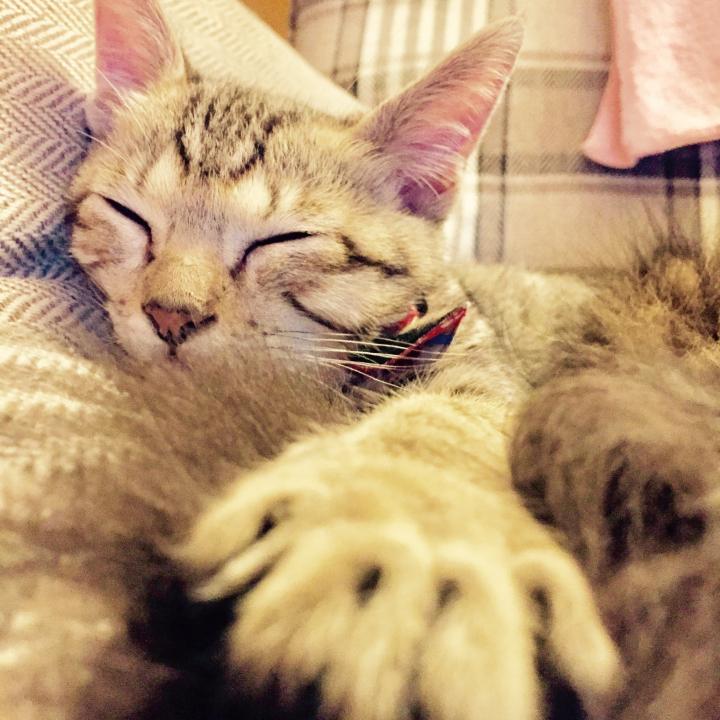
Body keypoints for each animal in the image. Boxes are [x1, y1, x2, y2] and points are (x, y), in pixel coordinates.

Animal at [47, 0, 719, 719]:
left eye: (282, 239)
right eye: (129, 214)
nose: (171, 314)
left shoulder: (488, 375)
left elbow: (442, 427)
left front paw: (402, 523)